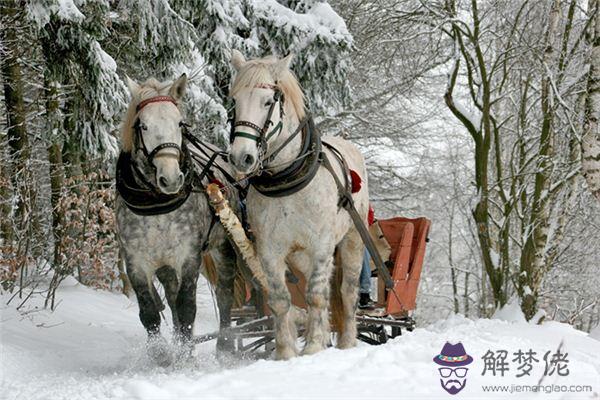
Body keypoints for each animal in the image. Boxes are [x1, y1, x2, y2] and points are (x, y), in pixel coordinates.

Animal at [113, 74, 236, 362]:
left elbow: (187, 305)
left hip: (222, 247)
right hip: (165, 264)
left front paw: (184, 354)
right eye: (143, 125)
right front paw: (162, 354)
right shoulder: (136, 261)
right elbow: (149, 311)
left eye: (180, 123)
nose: (170, 179)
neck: (157, 204)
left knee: (225, 292)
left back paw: (224, 346)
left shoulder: (188, 256)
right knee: (170, 295)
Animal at [227, 50, 368, 360]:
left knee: (346, 291)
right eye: (235, 101)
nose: (241, 157)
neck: (287, 177)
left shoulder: (322, 245)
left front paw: (313, 346)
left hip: (352, 239)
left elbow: (316, 295)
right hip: (300, 256)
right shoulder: (269, 250)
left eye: (268, 101)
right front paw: (286, 352)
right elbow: (281, 299)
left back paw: (347, 341)